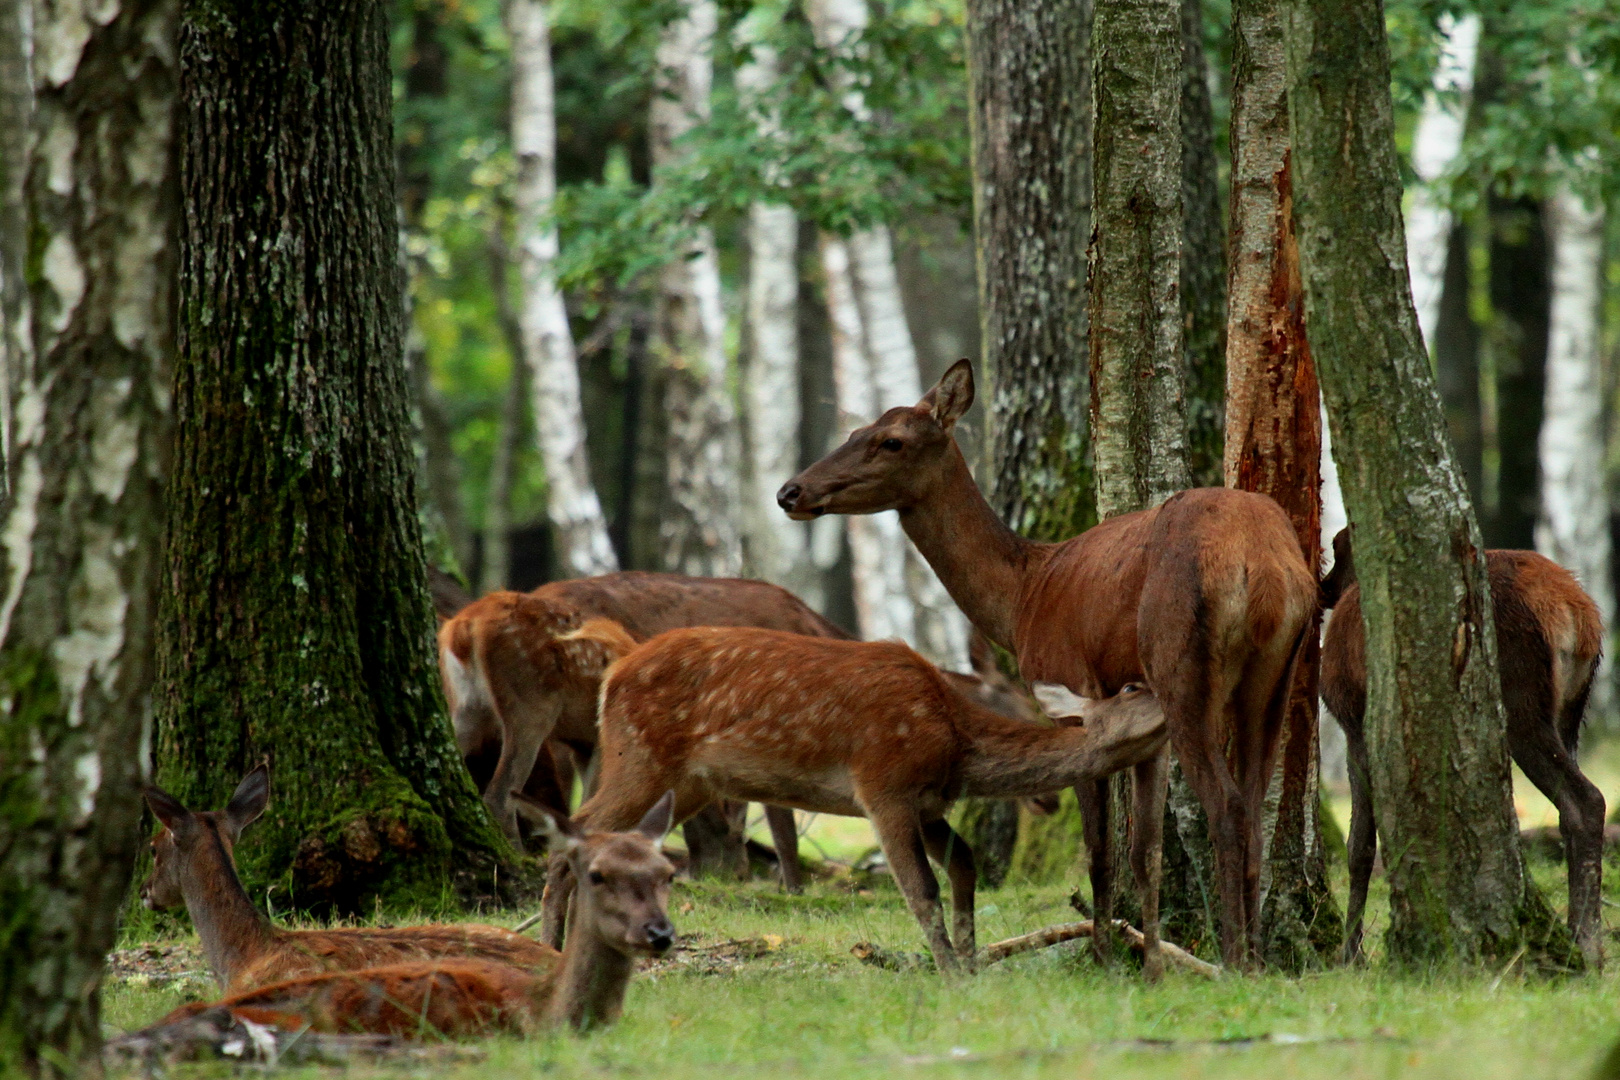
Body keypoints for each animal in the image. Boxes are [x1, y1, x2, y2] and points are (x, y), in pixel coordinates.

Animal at [541, 625, 1166, 971]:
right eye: (1133, 686)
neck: (954, 742)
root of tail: (614, 672)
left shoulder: (928, 801)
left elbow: (963, 864)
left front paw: (972, 961)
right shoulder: (883, 784)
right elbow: (920, 888)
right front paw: (951, 974)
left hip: (687, 780)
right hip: (639, 756)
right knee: (572, 836)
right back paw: (551, 948)